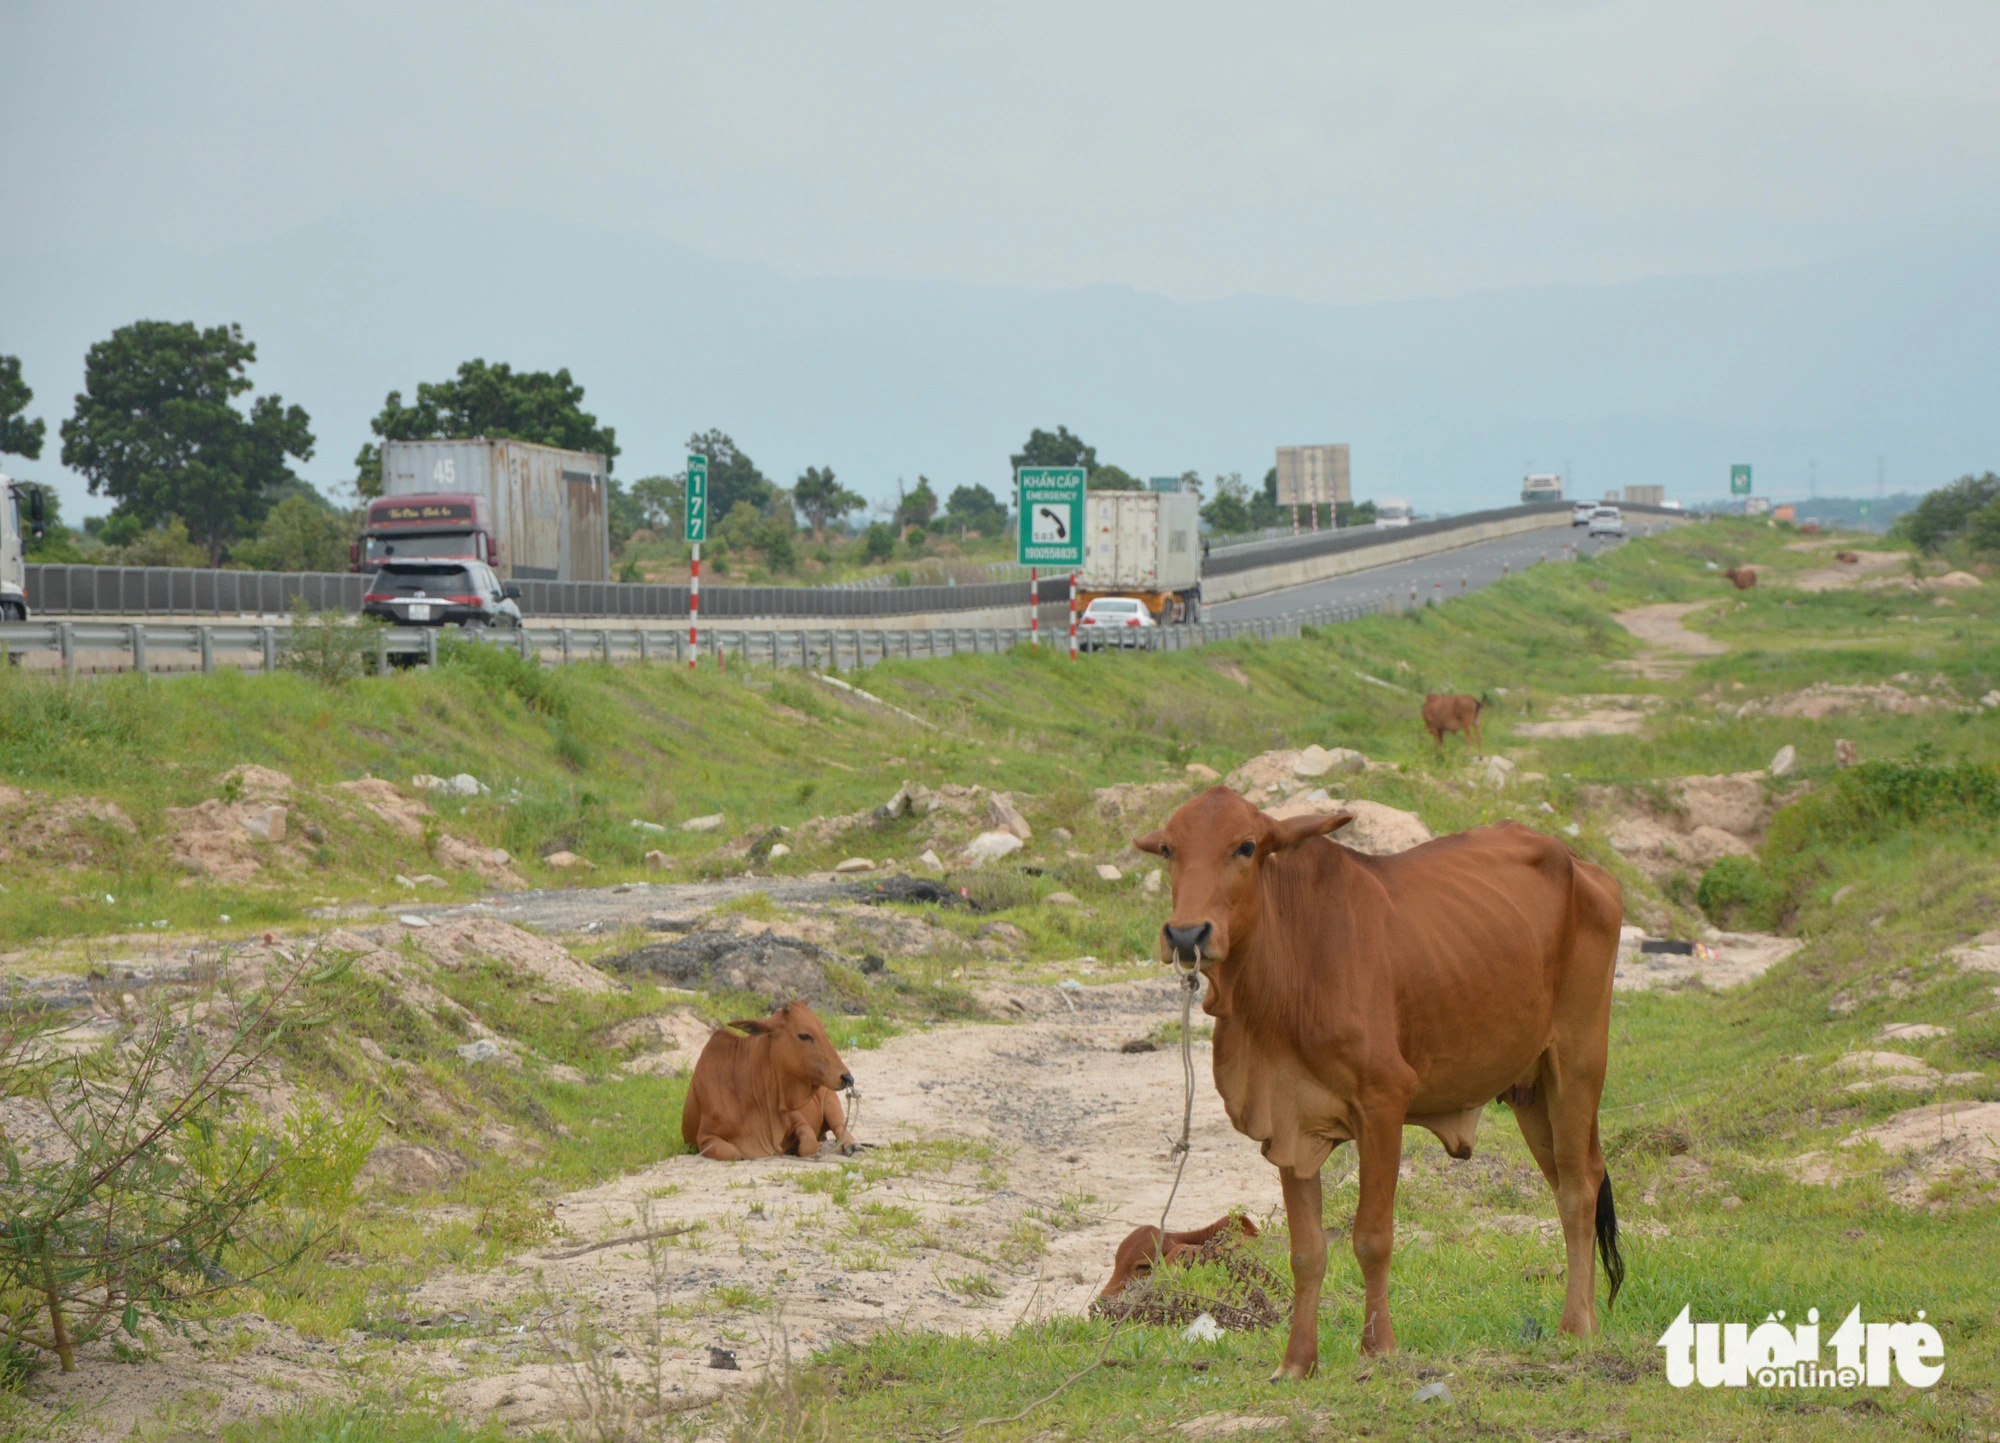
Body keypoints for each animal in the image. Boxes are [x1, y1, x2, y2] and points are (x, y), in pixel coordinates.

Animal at [684, 999, 856, 1159]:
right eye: (804, 1035)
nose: (847, 1077)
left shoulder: (797, 1119)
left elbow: (809, 1145)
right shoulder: (705, 1137)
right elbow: (734, 1153)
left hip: (830, 1100)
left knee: (841, 1126)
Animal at [1144, 791, 1624, 1375]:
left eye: (1247, 846)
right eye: (1168, 849)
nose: (1186, 934)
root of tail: (1578, 863)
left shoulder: (1383, 1104)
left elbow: (1371, 1237)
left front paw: (1378, 1350)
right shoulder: (1289, 1124)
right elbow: (1306, 1252)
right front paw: (1297, 1362)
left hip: (1576, 1061)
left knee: (1578, 1188)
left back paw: (1575, 1326)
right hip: (1530, 1090)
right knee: (1570, 1182)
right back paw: (1587, 1320)